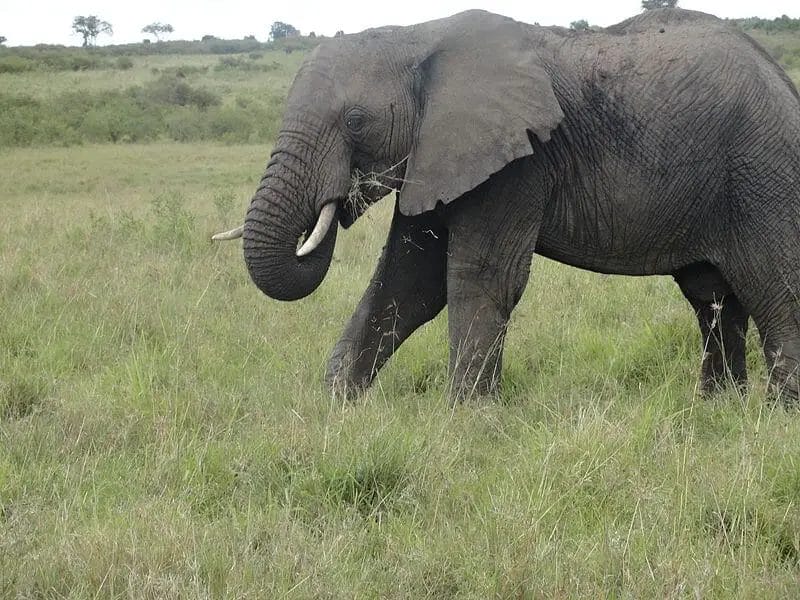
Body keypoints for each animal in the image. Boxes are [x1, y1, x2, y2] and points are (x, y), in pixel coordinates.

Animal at [214, 8, 800, 402]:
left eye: (355, 122)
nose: (334, 205)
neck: (415, 35)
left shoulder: (518, 162)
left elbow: (479, 277)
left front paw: (468, 420)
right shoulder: (439, 152)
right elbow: (408, 280)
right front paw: (337, 407)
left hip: (761, 175)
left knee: (773, 288)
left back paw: (776, 414)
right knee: (713, 298)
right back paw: (718, 409)